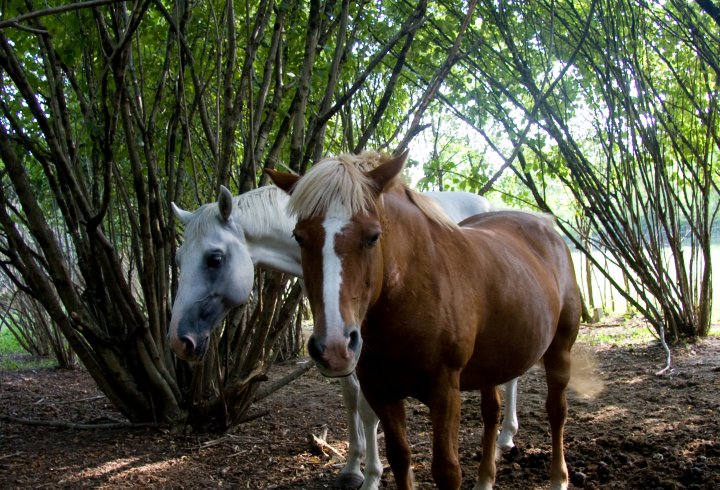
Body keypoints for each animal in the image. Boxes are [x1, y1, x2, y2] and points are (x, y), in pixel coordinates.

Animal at [167, 180, 518, 489]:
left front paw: (373, 476)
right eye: (178, 258)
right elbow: (351, 399)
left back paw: (507, 437)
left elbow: (367, 409)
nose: (178, 341)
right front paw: (352, 468)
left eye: (214, 258)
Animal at [267, 151, 581, 490]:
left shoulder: (444, 390)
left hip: (559, 351)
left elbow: (446, 470)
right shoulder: (381, 391)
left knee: (556, 411)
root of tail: (545, 226)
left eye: (372, 237)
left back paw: (558, 479)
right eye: (299, 237)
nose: (335, 347)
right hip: (493, 363)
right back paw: (485, 479)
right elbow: (400, 458)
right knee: (491, 413)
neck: (412, 290)